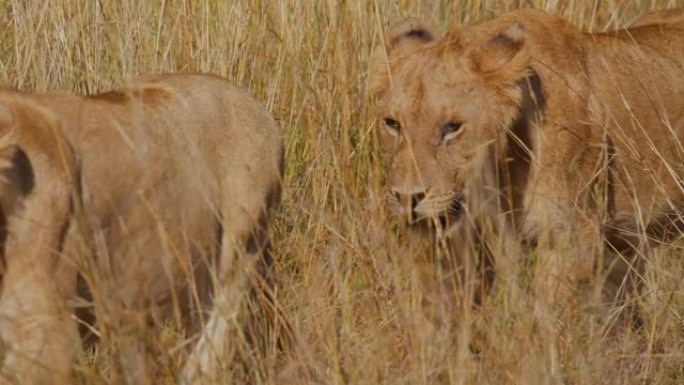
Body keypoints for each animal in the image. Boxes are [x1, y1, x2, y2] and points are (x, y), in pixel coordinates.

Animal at [374, 9, 684, 320]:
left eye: (453, 127)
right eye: (392, 123)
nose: (407, 198)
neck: (501, 168)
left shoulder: (569, 233)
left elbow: (553, 312)